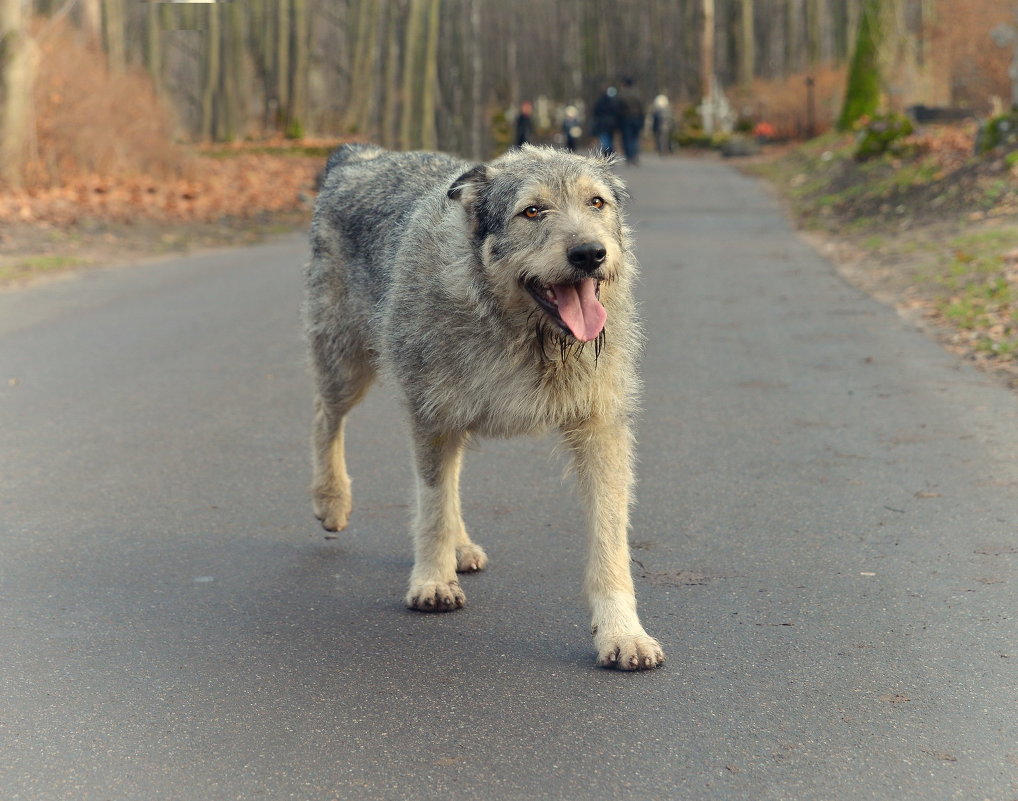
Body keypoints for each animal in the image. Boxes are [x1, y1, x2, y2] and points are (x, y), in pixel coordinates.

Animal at [305, 144, 663, 671]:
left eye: (596, 203)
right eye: (532, 211)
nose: (590, 254)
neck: (521, 333)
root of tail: (359, 155)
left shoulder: (601, 428)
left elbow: (610, 537)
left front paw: (622, 632)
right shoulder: (430, 413)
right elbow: (431, 502)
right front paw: (432, 580)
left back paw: (460, 545)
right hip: (347, 364)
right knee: (324, 418)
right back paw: (332, 500)